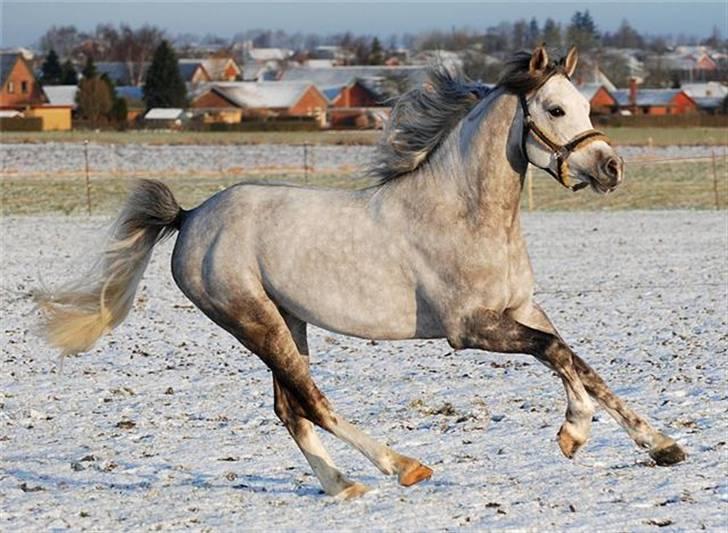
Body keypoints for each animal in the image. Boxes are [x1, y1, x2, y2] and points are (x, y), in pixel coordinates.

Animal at [38, 46, 688, 498]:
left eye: (587, 104)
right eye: (554, 108)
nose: (611, 168)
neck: (467, 213)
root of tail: (191, 216)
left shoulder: (521, 308)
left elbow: (580, 362)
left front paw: (661, 445)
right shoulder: (471, 329)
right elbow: (555, 354)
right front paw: (573, 434)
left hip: (288, 321)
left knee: (288, 408)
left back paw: (343, 486)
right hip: (253, 321)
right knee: (311, 401)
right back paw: (401, 466)